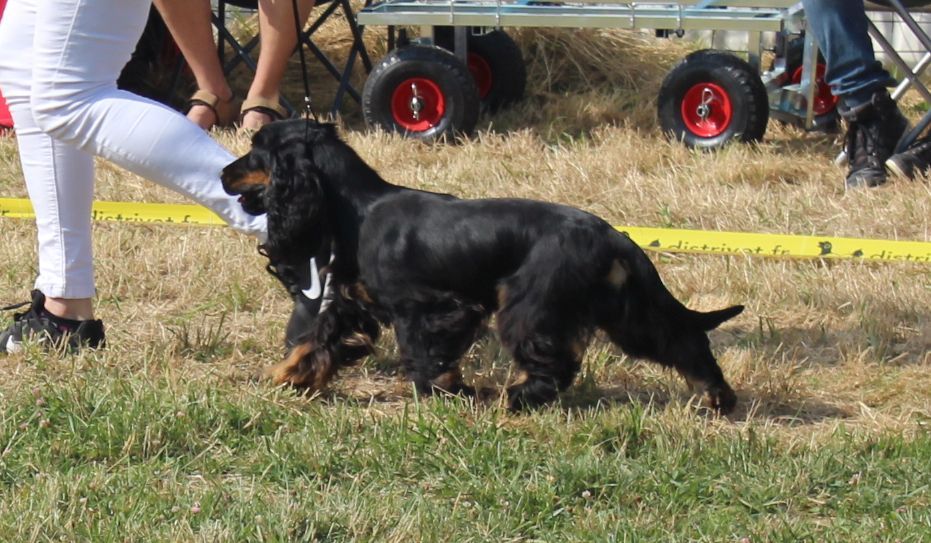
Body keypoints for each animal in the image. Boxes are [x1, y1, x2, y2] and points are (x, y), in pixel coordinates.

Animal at [222, 120, 744, 412]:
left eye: (256, 149)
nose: (224, 172)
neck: (357, 209)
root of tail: (613, 234)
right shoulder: (354, 303)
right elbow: (319, 340)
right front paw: (290, 376)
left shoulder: (431, 307)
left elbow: (424, 354)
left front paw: (448, 391)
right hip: (624, 306)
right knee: (680, 338)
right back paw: (717, 395)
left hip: (528, 302)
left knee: (553, 363)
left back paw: (518, 398)